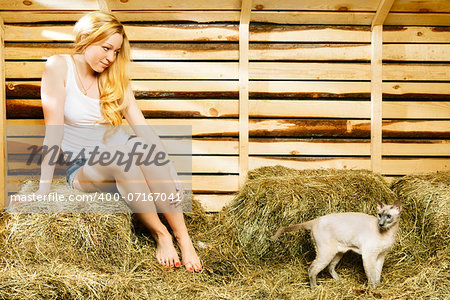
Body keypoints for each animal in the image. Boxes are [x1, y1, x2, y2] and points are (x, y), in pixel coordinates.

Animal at [272, 202, 402, 288]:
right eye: (379, 215)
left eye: (388, 216)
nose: (381, 224)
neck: (388, 233)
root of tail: (315, 220)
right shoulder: (369, 256)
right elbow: (371, 275)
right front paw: (373, 290)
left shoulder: (381, 256)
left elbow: (377, 274)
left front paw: (379, 287)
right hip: (326, 253)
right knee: (311, 269)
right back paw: (315, 289)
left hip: (337, 252)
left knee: (330, 268)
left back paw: (340, 281)